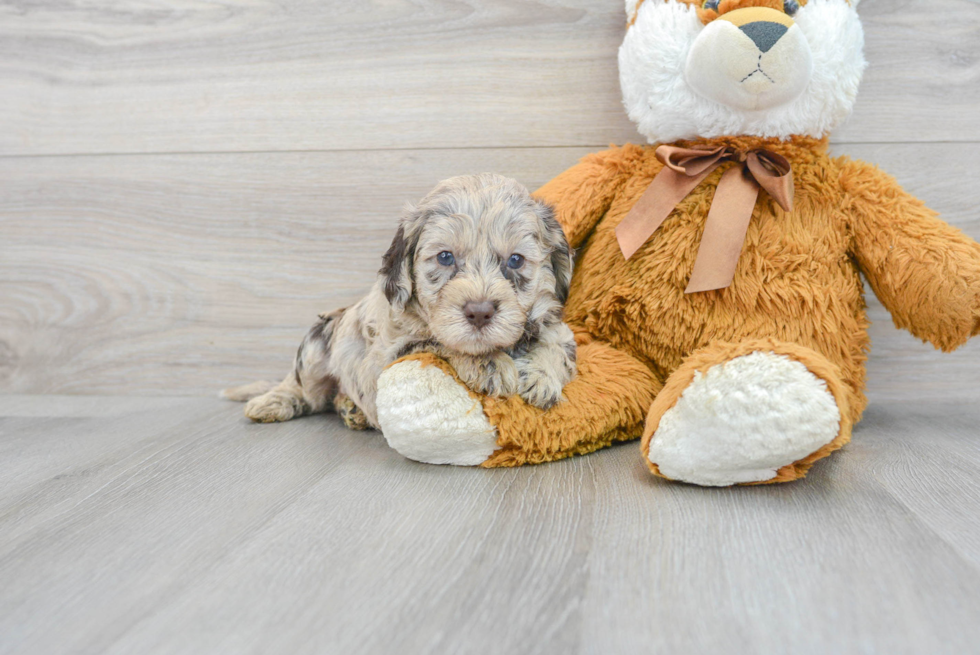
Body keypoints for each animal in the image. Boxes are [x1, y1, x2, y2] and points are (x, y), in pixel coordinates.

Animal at [222, 174, 576, 430]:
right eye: (445, 257)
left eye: (515, 260)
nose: (480, 312)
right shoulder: (392, 353)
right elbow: (438, 342)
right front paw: (488, 364)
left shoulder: (555, 324)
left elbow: (557, 342)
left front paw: (543, 377)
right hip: (316, 341)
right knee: (303, 389)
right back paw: (273, 402)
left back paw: (350, 409)